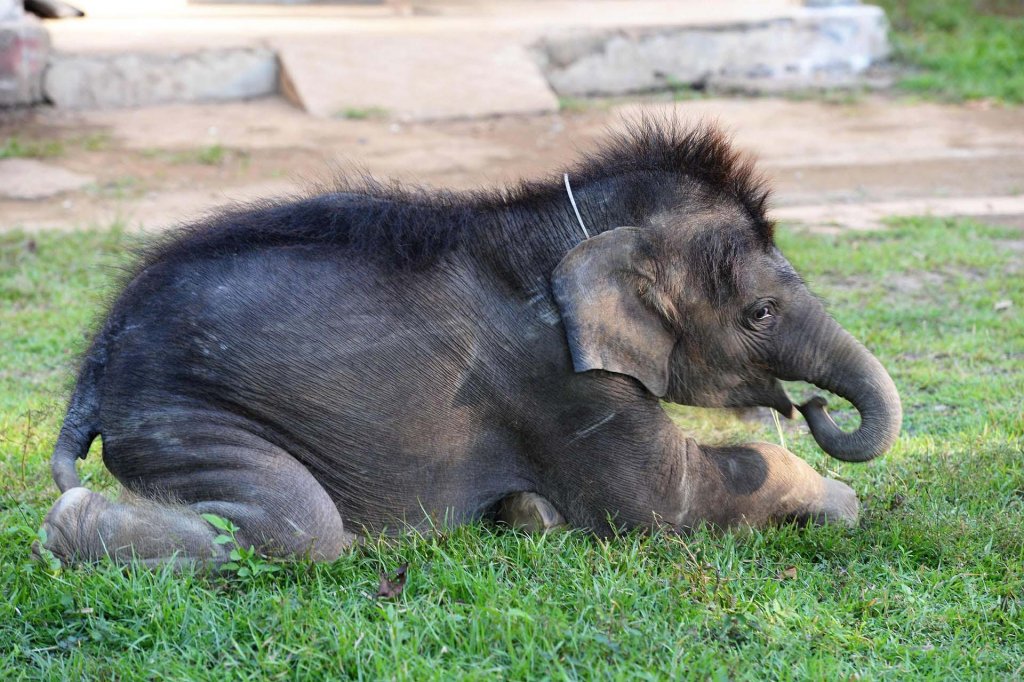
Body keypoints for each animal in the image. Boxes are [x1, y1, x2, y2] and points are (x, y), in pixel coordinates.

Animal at [37, 120, 905, 561]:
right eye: (760, 312)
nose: (811, 407)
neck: (554, 219)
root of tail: (99, 351)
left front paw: (528, 512)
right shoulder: (557, 379)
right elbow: (669, 500)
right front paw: (840, 504)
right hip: (182, 412)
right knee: (296, 527)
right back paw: (67, 530)